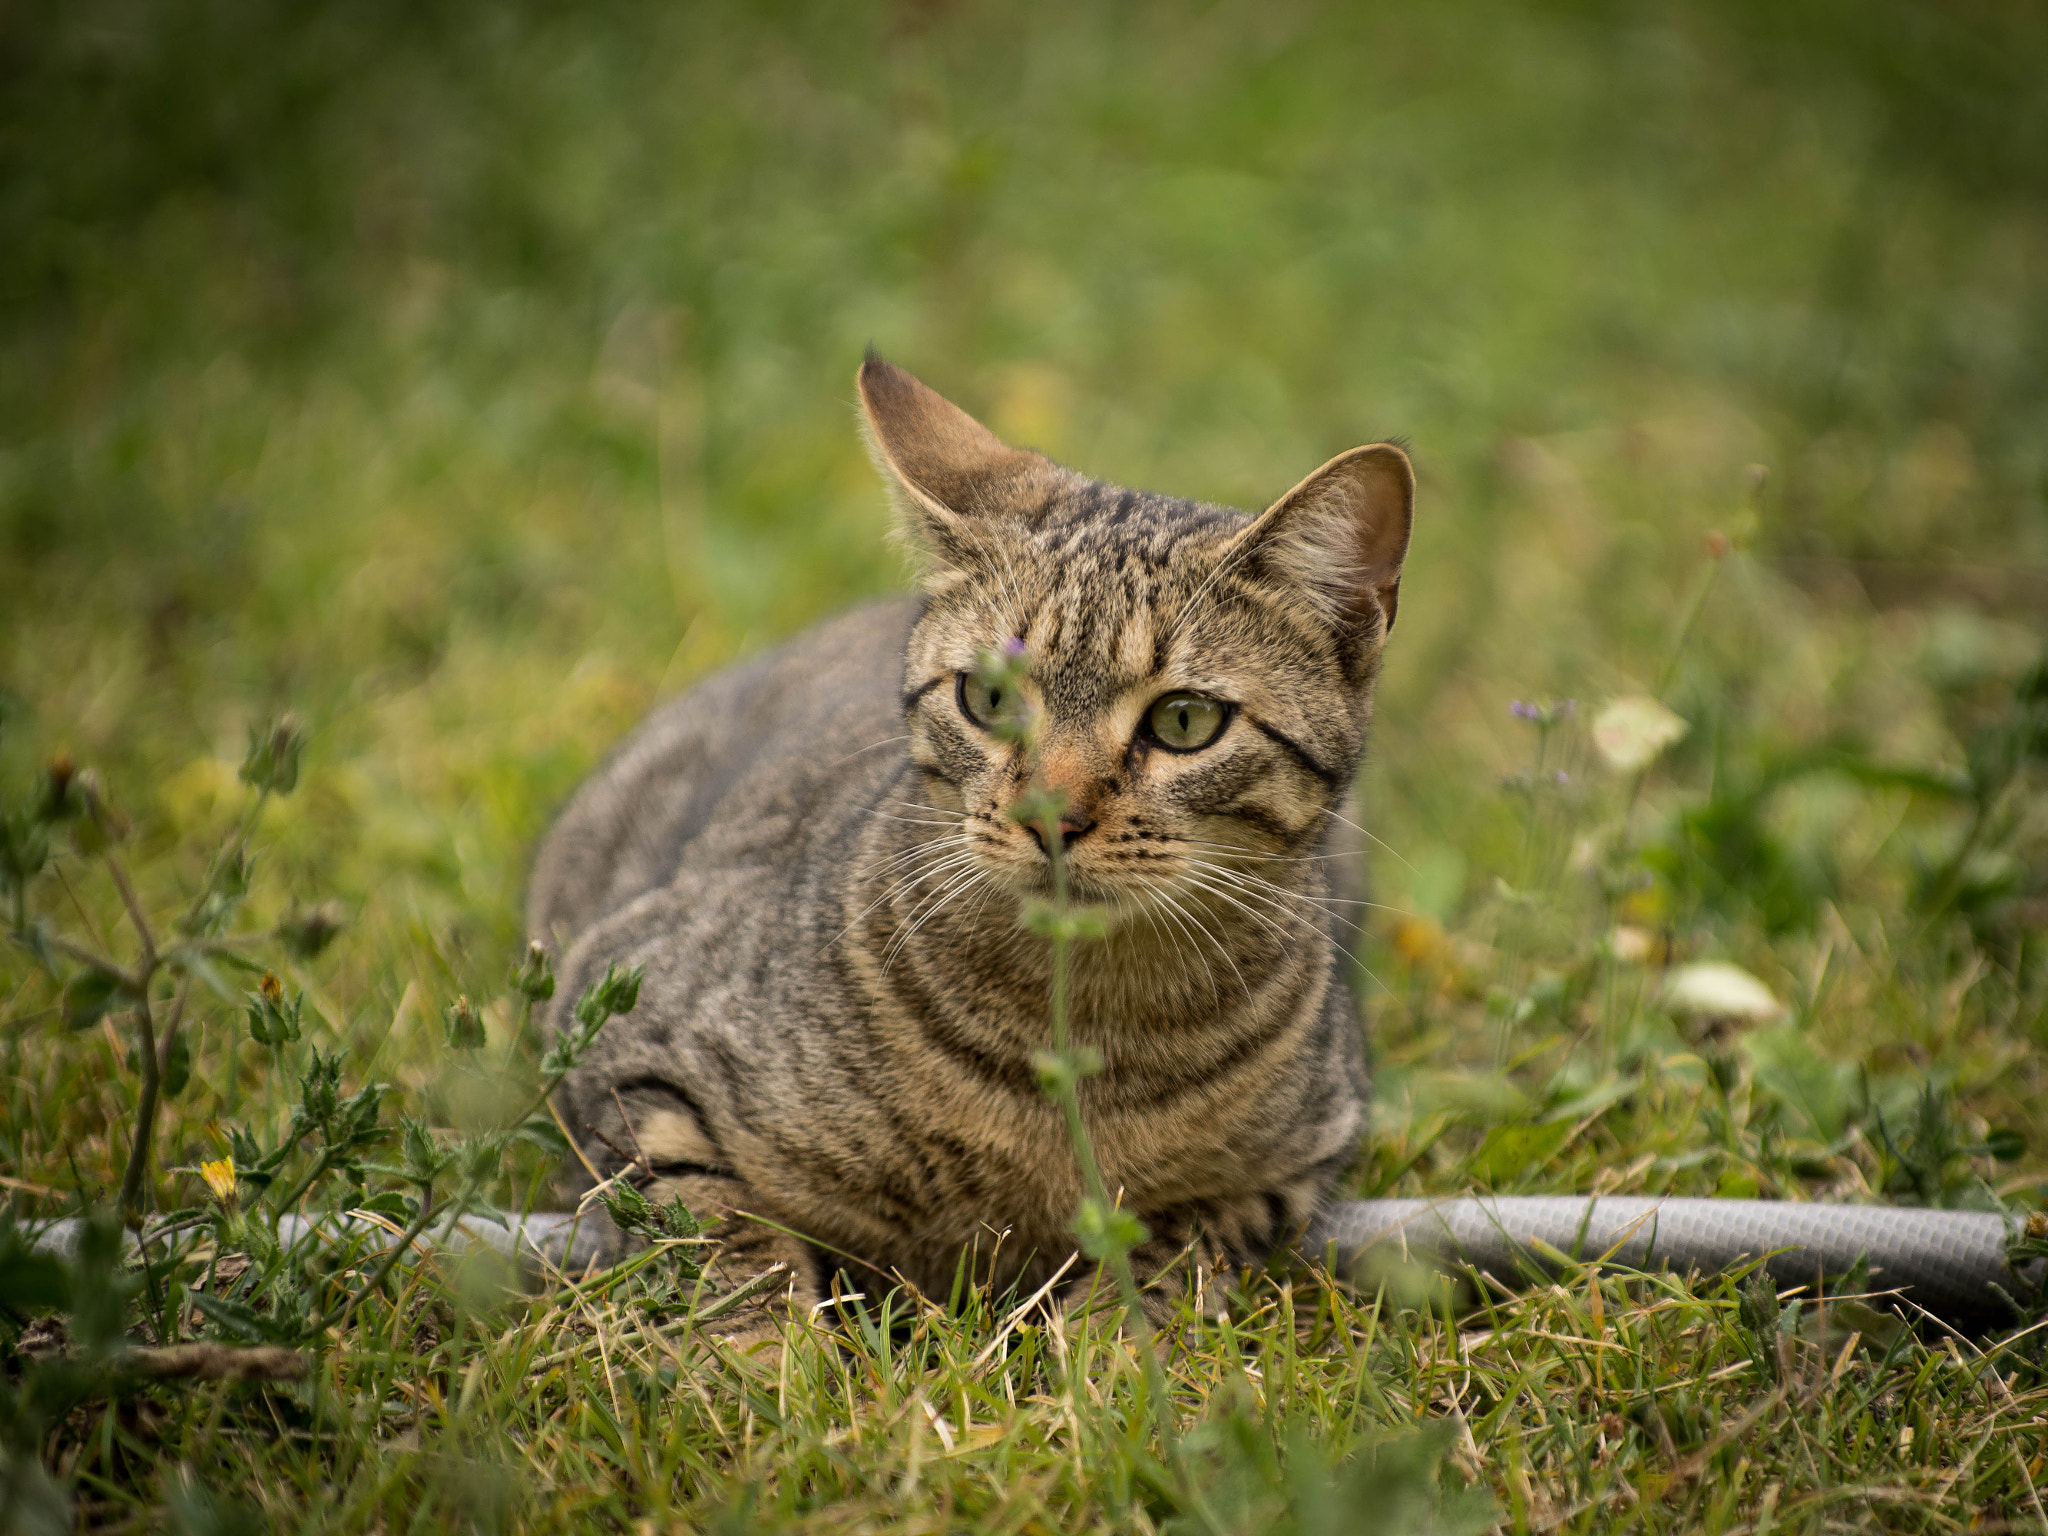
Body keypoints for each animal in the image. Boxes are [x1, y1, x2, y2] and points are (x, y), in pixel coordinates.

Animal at [528, 354, 1409, 1327]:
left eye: (1185, 721)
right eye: (988, 698)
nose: (1050, 816)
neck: (1081, 1029)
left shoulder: (1290, 1168)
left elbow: (1168, 1263)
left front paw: (1101, 1351)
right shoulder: (626, 1035)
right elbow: (718, 1234)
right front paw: (768, 1349)